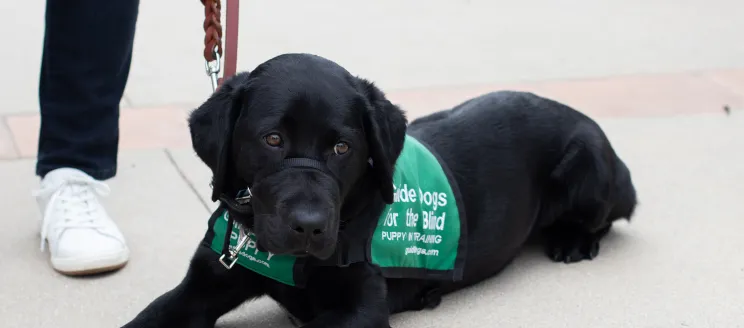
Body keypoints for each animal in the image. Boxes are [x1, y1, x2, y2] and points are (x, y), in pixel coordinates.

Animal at [122, 52, 632, 326]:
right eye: (273, 139)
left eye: (343, 146)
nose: (310, 226)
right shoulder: (203, 283)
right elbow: (152, 314)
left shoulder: (359, 309)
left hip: (588, 165)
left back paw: (574, 240)